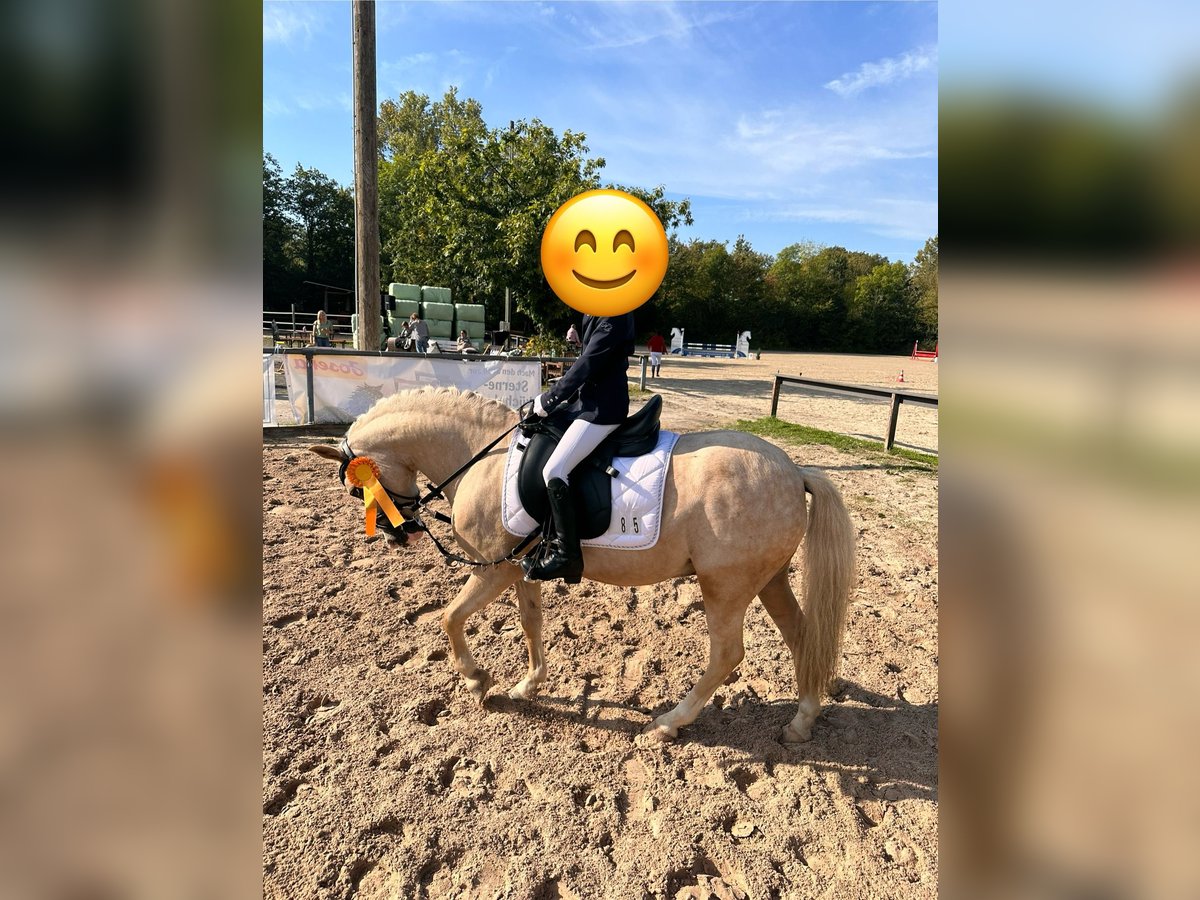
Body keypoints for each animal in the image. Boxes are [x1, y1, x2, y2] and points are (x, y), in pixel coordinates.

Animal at [308, 387, 856, 744]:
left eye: (357, 486)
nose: (397, 535)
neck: (481, 456)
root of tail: (794, 471)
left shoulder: (491, 569)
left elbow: (448, 619)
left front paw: (477, 681)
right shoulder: (520, 568)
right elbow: (530, 623)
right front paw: (526, 686)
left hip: (725, 586)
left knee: (726, 655)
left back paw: (666, 724)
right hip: (769, 580)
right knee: (801, 636)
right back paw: (801, 723)